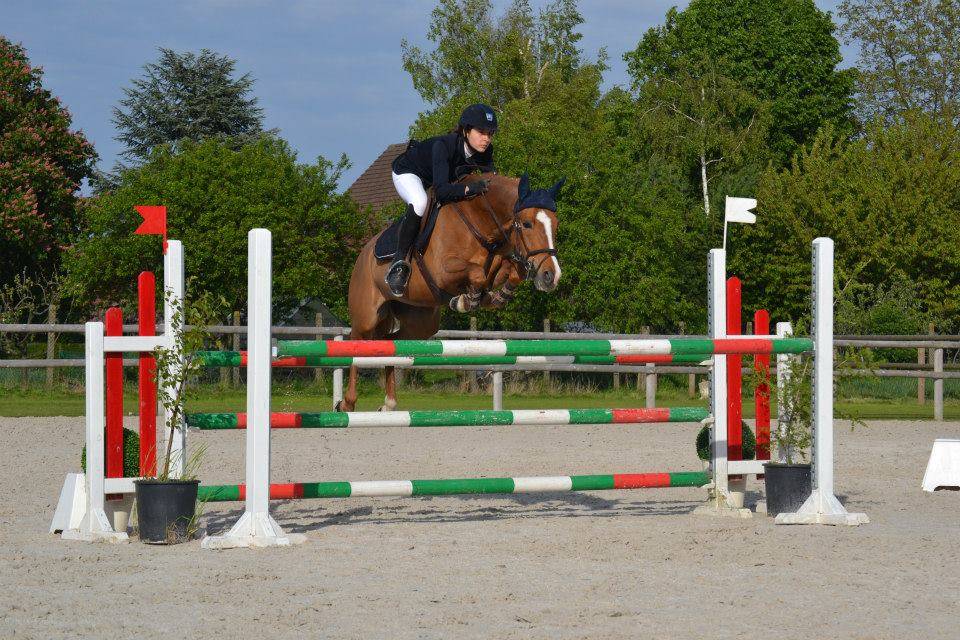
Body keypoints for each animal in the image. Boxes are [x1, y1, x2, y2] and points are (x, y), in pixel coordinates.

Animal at [339, 172, 564, 412]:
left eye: (555, 224)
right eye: (527, 224)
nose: (551, 276)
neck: (480, 221)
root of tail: (363, 253)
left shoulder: (502, 260)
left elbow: (512, 272)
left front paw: (494, 296)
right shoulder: (443, 271)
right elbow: (477, 273)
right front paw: (466, 300)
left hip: (421, 323)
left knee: (390, 341)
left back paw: (389, 403)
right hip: (366, 317)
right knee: (357, 344)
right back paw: (347, 403)